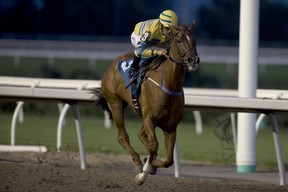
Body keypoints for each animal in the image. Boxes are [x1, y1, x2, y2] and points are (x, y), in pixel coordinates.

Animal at [93, 21, 199, 184]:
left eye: (195, 40)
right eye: (179, 40)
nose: (193, 60)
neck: (168, 85)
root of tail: (111, 66)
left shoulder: (170, 126)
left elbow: (169, 159)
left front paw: (150, 164)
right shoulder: (149, 118)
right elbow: (154, 145)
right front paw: (143, 172)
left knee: (140, 135)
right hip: (115, 103)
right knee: (123, 136)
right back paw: (137, 162)